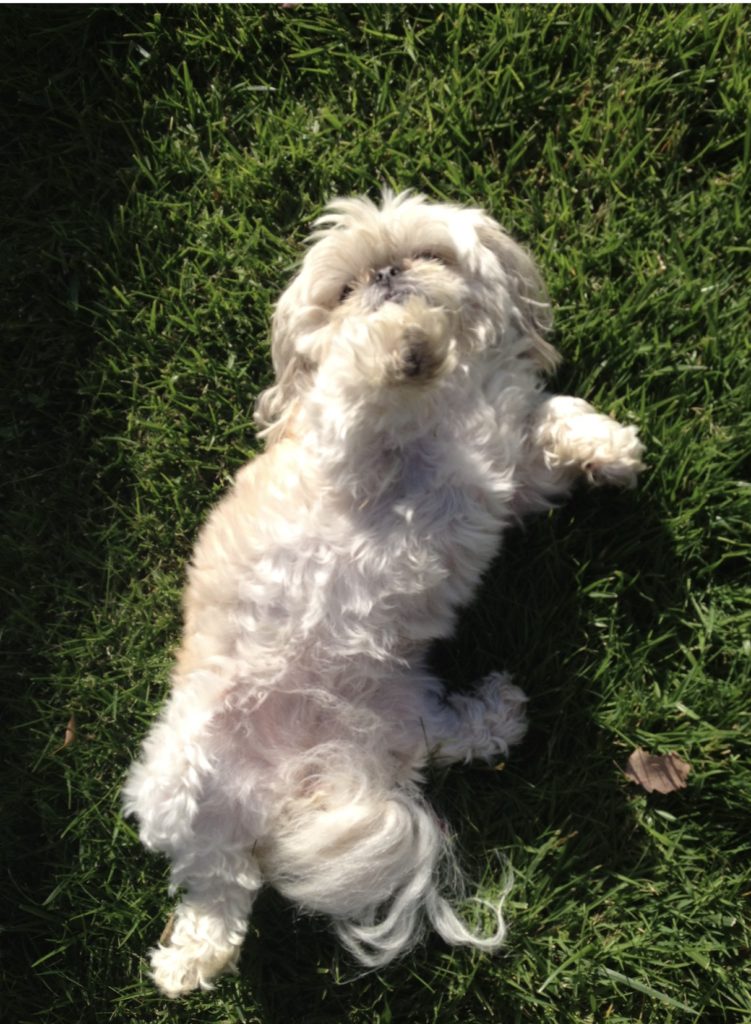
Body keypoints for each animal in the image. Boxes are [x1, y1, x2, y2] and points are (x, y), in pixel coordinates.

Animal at [122, 188, 643, 995]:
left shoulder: (510, 470)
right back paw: (191, 959)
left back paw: (495, 714)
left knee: (437, 741)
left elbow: (552, 423)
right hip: (183, 775)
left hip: (404, 714)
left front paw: (608, 447)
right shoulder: (344, 441)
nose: (388, 275)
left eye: (428, 253)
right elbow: (360, 382)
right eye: (342, 290)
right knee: (218, 880)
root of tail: (307, 775)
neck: (449, 402)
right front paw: (402, 337)